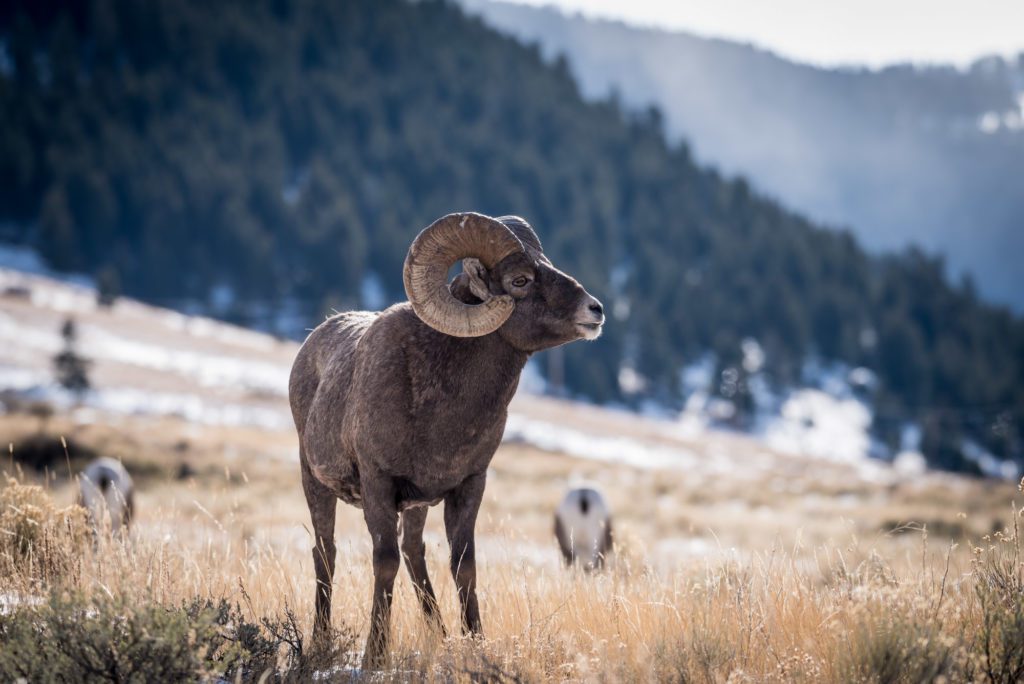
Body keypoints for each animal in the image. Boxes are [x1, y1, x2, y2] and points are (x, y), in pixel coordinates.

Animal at [289, 212, 605, 667]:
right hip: (314, 482)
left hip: (416, 506)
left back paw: (438, 635)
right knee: (326, 553)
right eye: (520, 280)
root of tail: (314, 339)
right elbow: (384, 563)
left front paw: (475, 645)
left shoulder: (468, 486)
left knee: (413, 552)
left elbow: (462, 566)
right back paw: (319, 642)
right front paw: (374, 658)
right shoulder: (378, 484)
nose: (595, 311)